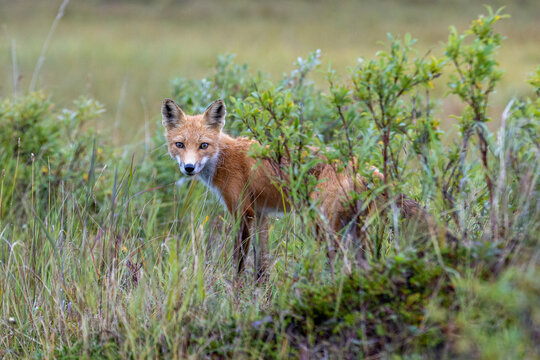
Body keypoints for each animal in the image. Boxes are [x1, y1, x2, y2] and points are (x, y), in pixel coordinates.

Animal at [160, 100, 442, 280]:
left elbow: (239, 264)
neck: (225, 157)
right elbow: (261, 266)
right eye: (179, 144)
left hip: (326, 225)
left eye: (204, 145)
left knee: (342, 263)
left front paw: (235, 296)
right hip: (353, 227)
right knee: (361, 263)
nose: (188, 168)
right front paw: (259, 293)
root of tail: (361, 165)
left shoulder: (243, 213)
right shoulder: (262, 215)